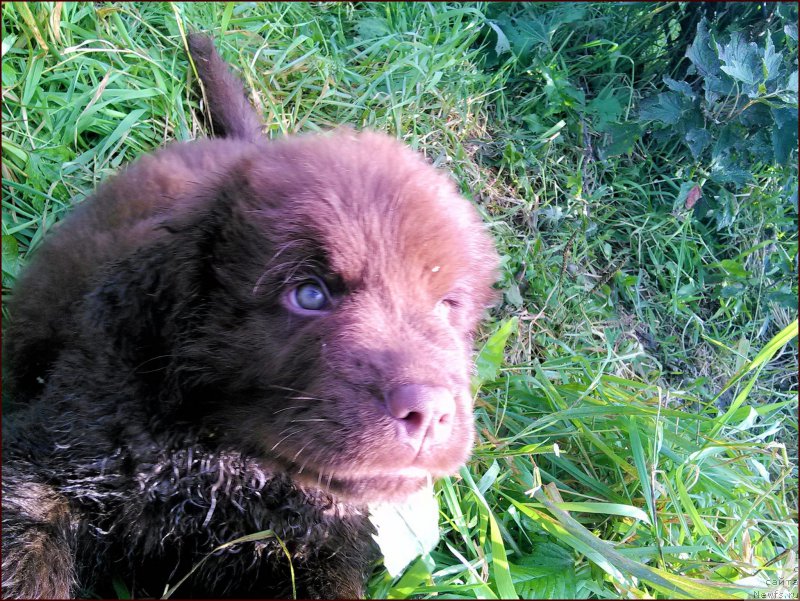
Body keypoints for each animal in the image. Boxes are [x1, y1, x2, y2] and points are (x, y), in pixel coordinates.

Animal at [3, 35, 496, 596]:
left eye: (447, 305)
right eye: (309, 295)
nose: (429, 412)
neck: (226, 459)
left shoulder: (320, 546)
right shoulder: (43, 469)